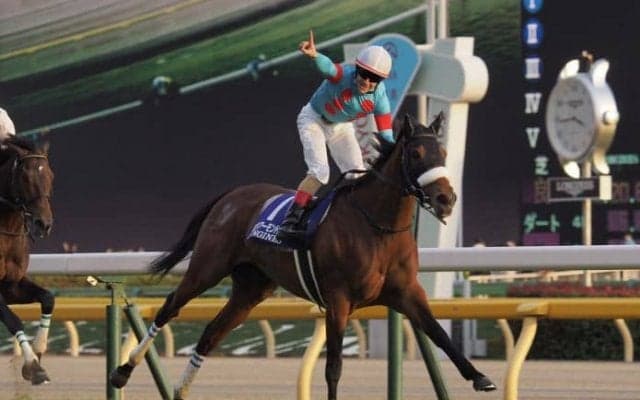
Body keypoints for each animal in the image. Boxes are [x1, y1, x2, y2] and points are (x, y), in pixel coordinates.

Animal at [110, 114, 496, 399]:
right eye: (415, 155)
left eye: (443, 154)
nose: (446, 199)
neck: (378, 227)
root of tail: (232, 194)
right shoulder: (339, 299)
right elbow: (334, 366)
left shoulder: (407, 292)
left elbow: (440, 334)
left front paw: (479, 377)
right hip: (207, 267)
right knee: (169, 308)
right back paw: (122, 372)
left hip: (251, 289)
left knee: (211, 332)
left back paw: (180, 388)